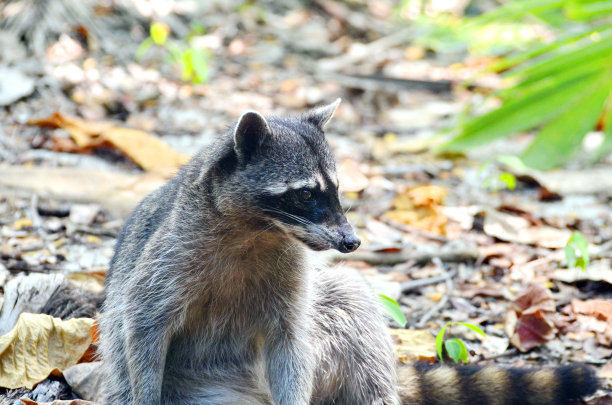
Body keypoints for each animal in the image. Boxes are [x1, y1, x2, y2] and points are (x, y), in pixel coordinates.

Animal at [98, 101, 600, 404]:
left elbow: (291, 342)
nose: (352, 242)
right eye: (305, 194)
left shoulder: (289, 277)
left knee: (350, 302)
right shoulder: (170, 259)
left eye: (339, 190)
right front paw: (145, 392)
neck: (257, 232)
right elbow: (141, 328)